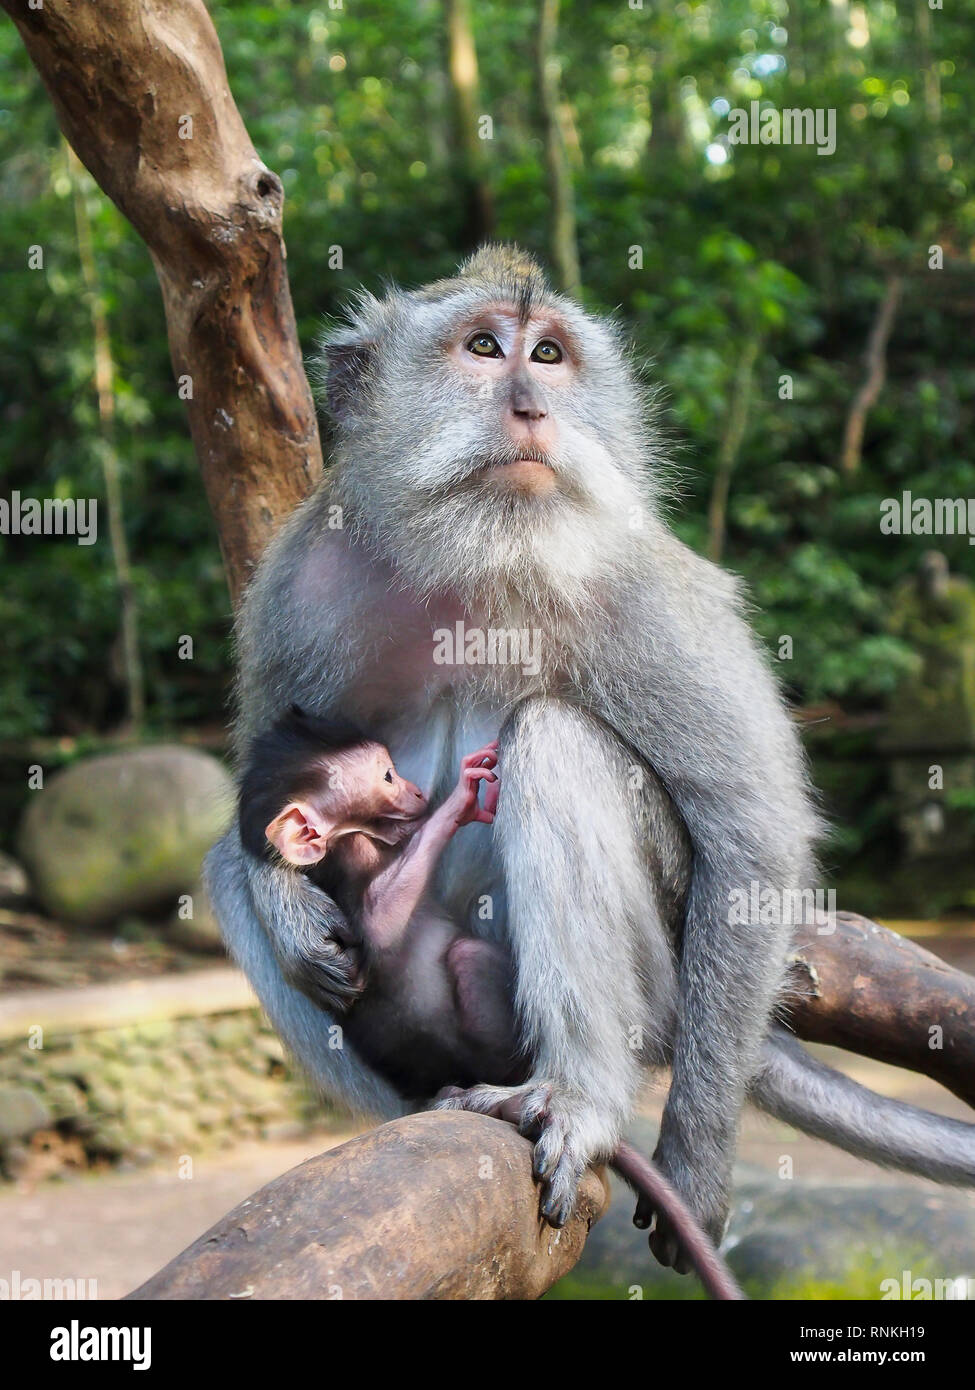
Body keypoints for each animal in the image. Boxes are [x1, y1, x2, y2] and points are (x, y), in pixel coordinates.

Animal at [239, 706, 739, 1301]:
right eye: (386, 776)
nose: (414, 788)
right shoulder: (357, 875)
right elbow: (387, 911)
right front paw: (462, 798)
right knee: (467, 958)